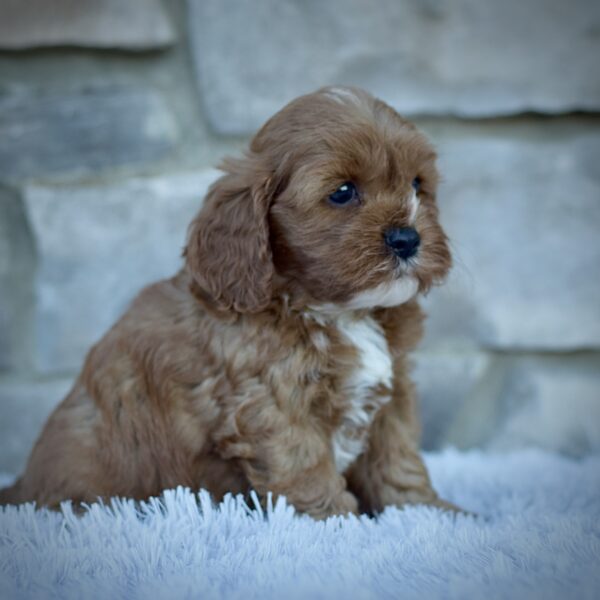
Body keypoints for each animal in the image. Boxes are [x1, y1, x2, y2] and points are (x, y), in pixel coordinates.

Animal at [0, 86, 454, 516]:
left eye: (417, 184)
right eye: (343, 192)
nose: (407, 238)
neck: (336, 311)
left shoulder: (392, 397)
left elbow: (398, 460)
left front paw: (429, 512)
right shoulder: (274, 407)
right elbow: (307, 472)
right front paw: (340, 526)